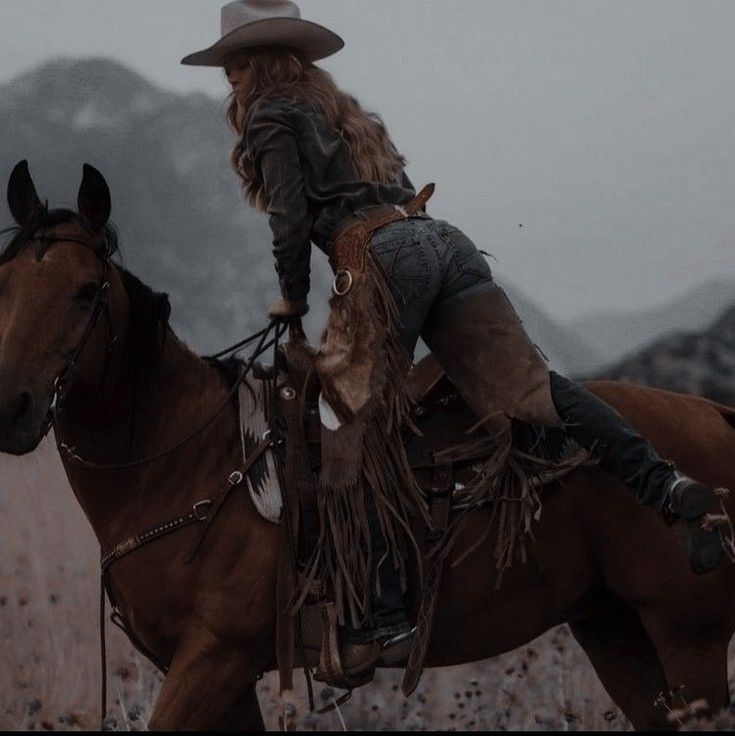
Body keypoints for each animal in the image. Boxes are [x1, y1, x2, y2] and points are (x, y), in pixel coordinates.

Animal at [1, 161, 735, 732]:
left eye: (87, 291)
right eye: (4, 285)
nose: (14, 407)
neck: (186, 465)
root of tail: (712, 414)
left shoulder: (215, 658)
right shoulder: (219, 673)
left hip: (689, 640)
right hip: (614, 631)